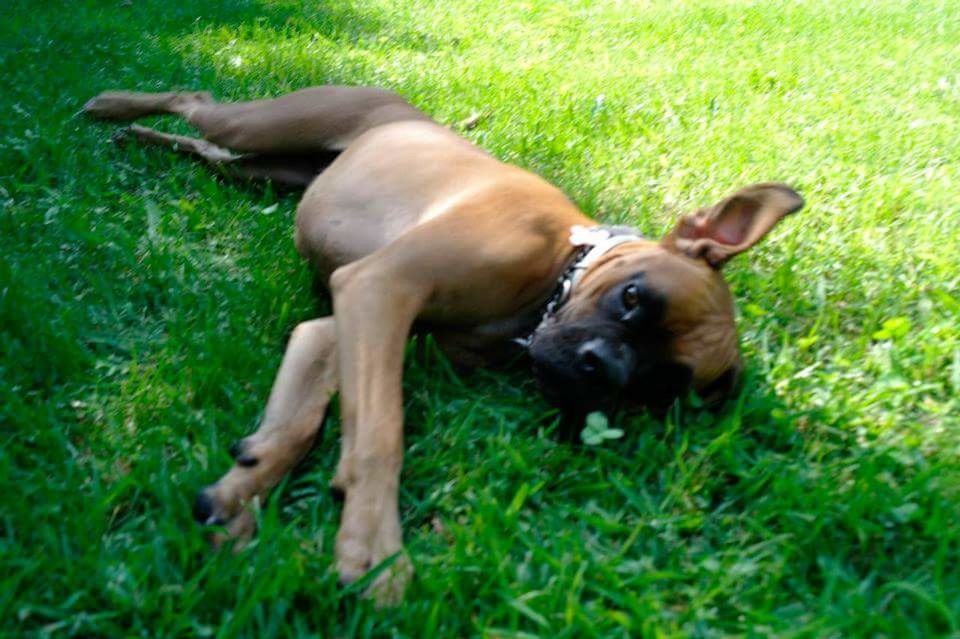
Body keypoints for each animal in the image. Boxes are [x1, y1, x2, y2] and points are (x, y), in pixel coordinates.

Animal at [84, 86, 804, 604]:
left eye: (659, 386)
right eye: (633, 298)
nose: (600, 369)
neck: (555, 270)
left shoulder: (344, 322)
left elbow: (299, 419)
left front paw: (240, 494)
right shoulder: (379, 290)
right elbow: (379, 435)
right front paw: (374, 551)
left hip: (267, 172)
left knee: (210, 150)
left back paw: (144, 136)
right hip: (260, 126)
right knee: (195, 97)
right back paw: (115, 106)